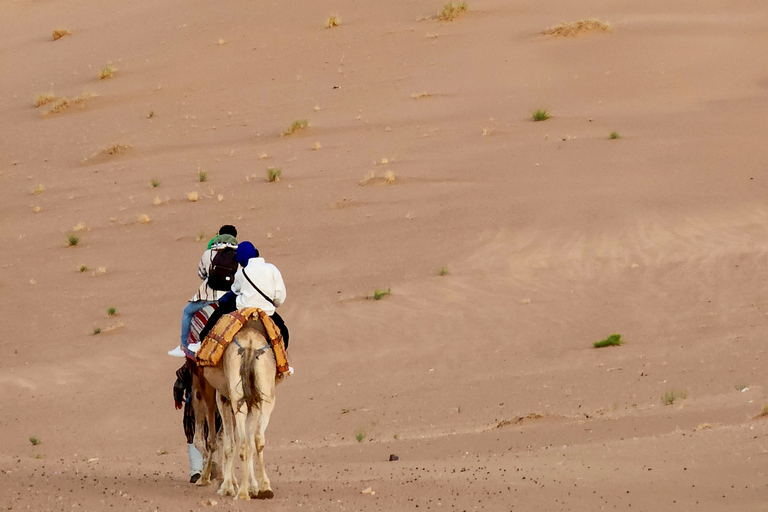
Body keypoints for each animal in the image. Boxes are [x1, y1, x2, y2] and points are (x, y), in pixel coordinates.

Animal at [192, 316, 280, 500]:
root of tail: (250, 345)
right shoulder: (252, 400)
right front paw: (252, 487)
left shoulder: (221, 398)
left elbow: (223, 441)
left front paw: (224, 485)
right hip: (265, 397)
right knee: (257, 439)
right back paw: (264, 488)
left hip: (236, 397)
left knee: (241, 442)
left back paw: (241, 493)